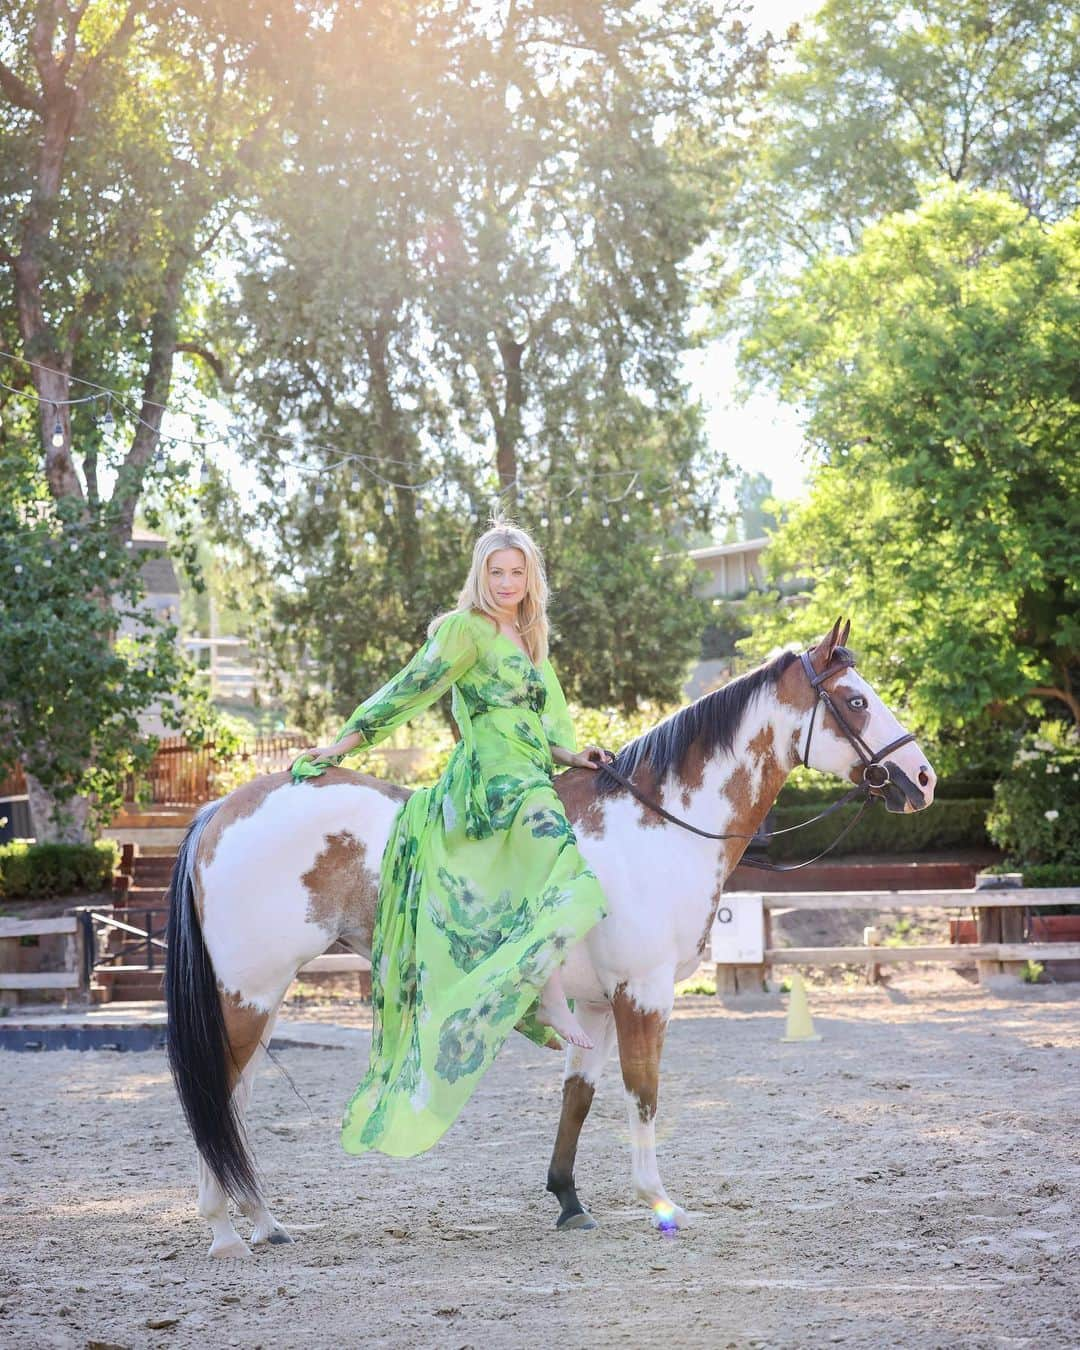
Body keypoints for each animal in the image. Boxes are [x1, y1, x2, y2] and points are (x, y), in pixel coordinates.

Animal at [164, 621, 934, 1252]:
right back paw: (226, 1230)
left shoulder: (594, 1002)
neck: (657, 826)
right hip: (249, 994)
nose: (921, 778)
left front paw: (568, 1200)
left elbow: (579, 1097)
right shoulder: (643, 991)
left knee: (233, 1100)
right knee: (215, 1095)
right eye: (856, 701)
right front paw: (658, 1201)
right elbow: (643, 1089)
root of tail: (218, 810)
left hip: (259, 1000)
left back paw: (261, 1222)